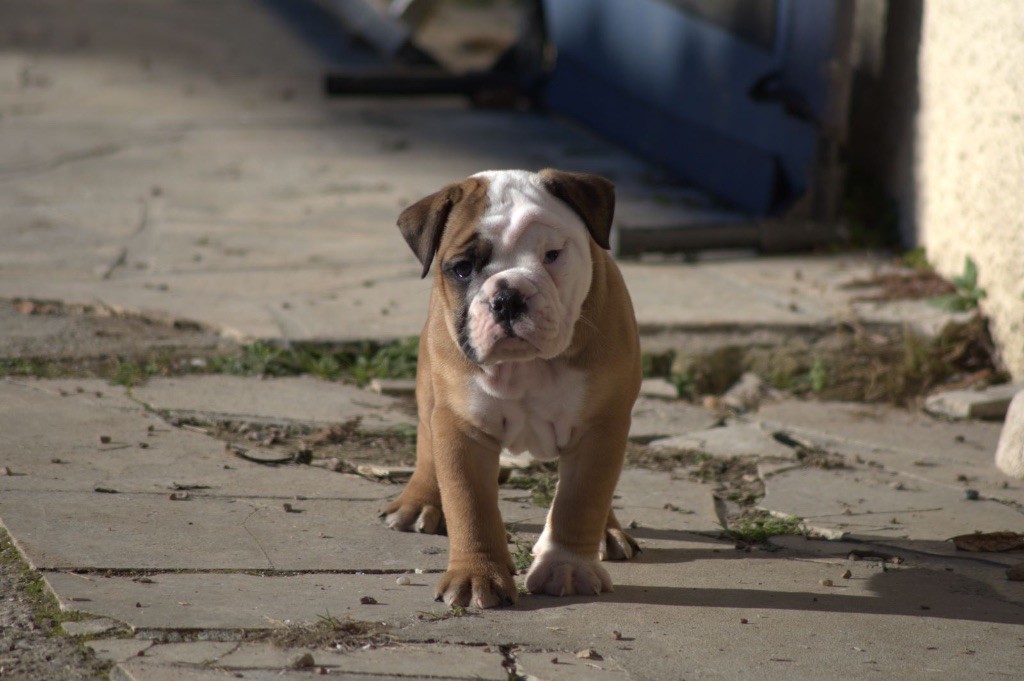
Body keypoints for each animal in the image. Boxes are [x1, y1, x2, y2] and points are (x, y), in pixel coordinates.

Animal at [382, 169, 641, 608]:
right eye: (463, 269)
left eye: (552, 255)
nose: (507, 297)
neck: (526, 368)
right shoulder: (462, 429)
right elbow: (470, 507)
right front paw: (475, 576)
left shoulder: (599, 428)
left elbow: (581, 499)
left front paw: (566, 568)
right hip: (429, 390)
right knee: (426, 443)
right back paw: (419, 502)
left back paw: (607, 533)